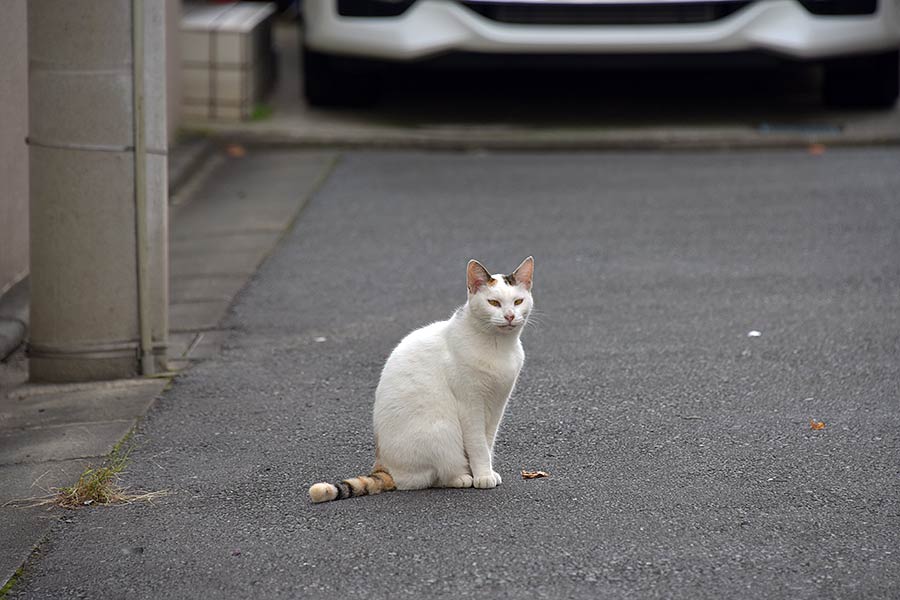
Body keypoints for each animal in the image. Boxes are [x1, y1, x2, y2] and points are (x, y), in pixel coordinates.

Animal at [310, 256, 536, 502]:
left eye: (518, 301)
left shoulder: (497, 403)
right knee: (427, 477)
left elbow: (488, 441)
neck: (498, 347)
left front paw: (487, 471)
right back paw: (461, 477)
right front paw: (483, 476)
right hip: (443, 430)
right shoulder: (470, 404)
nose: (510, 316)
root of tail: (383, 465)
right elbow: (477, 444)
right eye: (493, 302)